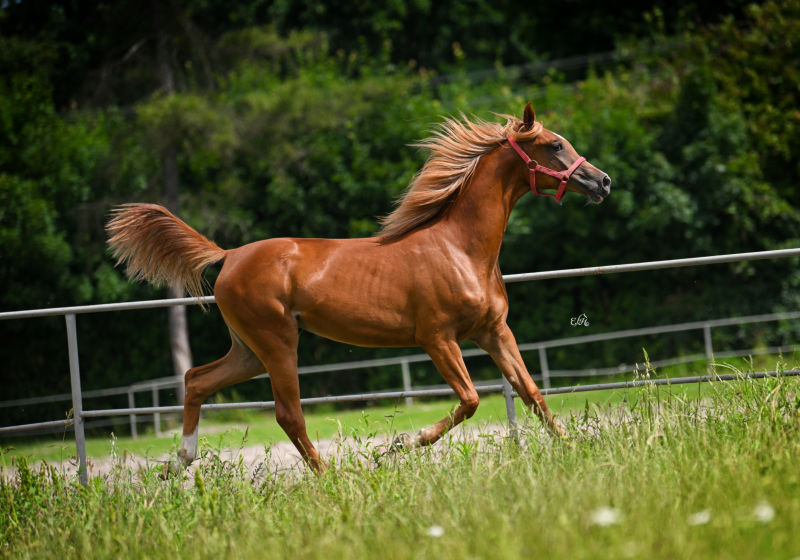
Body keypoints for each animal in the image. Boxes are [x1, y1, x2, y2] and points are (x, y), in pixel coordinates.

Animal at [104, 103, 608, 470]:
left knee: (196, 380)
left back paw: (179, 462)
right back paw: (331, 478)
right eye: (555, 145)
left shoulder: (493, 331)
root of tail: (229, 256)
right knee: (288, 413)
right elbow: (469, 400)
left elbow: (533, 393)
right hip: (277, 342)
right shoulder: (437, 338)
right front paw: (398, 445)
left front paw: (576, 450)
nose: (602, 181)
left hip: (248, 350)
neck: (460, 248)